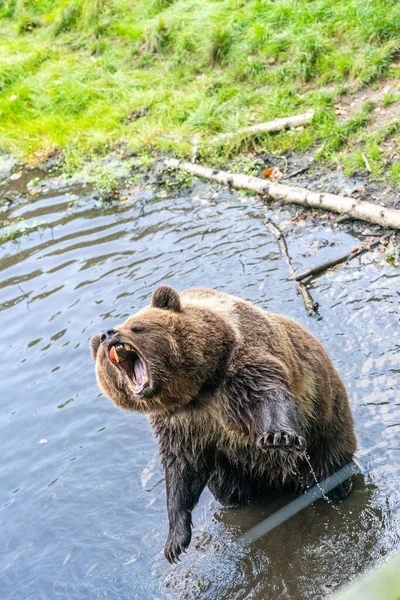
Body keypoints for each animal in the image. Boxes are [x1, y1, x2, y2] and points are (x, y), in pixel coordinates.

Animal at [90, 286, 356, 564]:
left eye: (137, 327)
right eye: (100, 350)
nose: (108, 333)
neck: (198, 387)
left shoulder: (241, 372)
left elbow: (269, 395)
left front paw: (279, 437)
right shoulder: (182, 423)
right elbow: (181, 468)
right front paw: (174, 542)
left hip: (326, 421)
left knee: (329, 466)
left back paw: (338, 486)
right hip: (235, 467)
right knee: (230, 489)